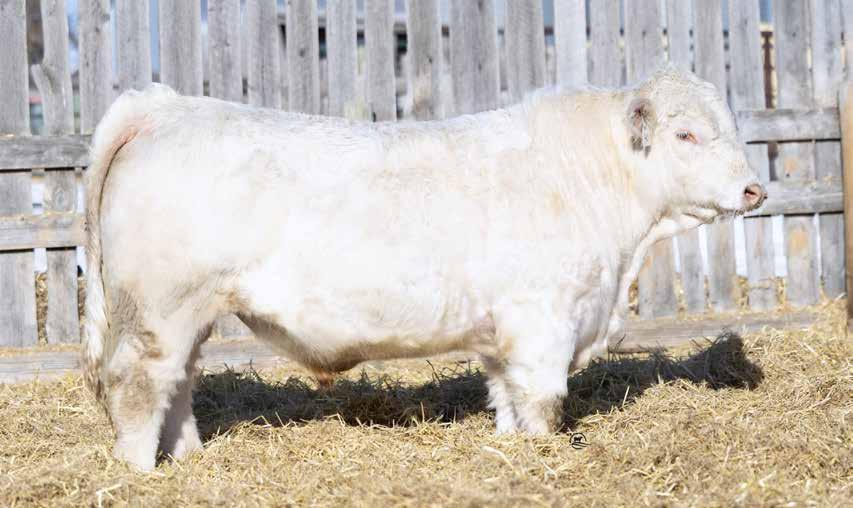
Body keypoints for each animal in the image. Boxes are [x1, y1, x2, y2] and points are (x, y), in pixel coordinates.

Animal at [82, 65, 766, 471]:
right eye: (685, 135)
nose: (754, 189)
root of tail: (163, 107)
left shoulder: (504, 334)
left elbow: (507, 396)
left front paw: (510, 448)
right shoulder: (543, 321)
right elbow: (543, 401)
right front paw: (545, 455)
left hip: (190, 314)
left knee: (178, 384)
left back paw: (189, 460)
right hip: (160, 309)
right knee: (138, 386)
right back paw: (141, 471)